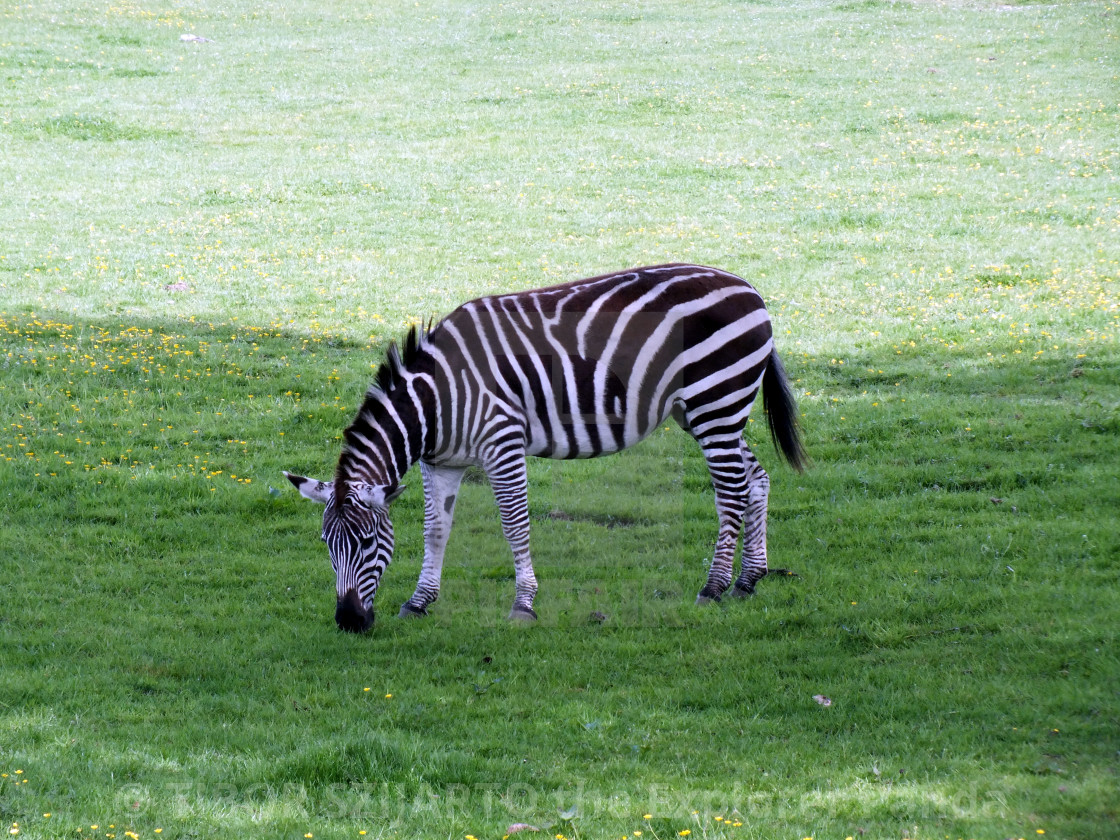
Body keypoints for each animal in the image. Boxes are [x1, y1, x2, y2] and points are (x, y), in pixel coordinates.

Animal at [284, 263, 801, 631]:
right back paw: (748, 581)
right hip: (703, 412)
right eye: (327, 544)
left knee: (731, 491)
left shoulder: (502, 443)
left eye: (368, 542)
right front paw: (419, 602)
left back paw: (713, 588)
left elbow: (515, 525)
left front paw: (523, 605)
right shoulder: (442, 463)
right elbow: (436, 530)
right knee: (756, 478)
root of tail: (748, 288)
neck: (436, 400)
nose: (349, 623)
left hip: (715, 403)